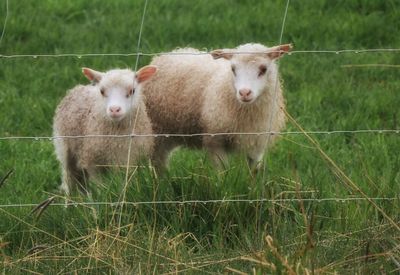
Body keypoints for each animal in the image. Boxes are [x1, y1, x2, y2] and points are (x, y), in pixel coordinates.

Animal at [52, 65, 158, 195]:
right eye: (102, 91)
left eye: (132, 91)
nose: (114, 109)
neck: (118, 136)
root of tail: (77, 88)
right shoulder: (92, 161)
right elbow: (100, 185)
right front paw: (102, 195)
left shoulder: (132, 161)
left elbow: (127, 183)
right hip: (62, 147)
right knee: (68, 176)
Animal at [142, 42, 292, 172]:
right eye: (233, 69)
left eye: (263, 69)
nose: (244, 92)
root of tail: (169, 54)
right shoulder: (215, 140)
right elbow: (223, 172)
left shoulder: (257, 141)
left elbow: (253, 171)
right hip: (158, 130)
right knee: (157, 162)